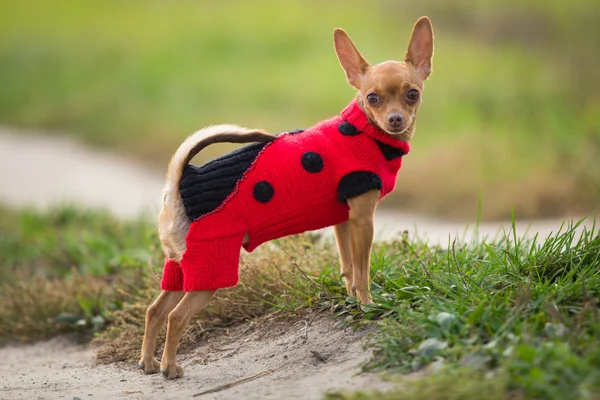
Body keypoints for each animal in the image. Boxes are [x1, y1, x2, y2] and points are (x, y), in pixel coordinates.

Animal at [138, 16, 434, 378]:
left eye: (412, 94)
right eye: (373, 98)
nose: (395, 119)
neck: (365, 131)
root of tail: (180, 180)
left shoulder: (344, 221)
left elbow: (348, 268)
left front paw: (351, 300)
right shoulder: (363, 220)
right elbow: (363, 270)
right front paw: (368, 305)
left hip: (180, 268)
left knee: (154, 310)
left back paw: (149, 362)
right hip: (209, 271)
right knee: (176, 316)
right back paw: (170, 367)